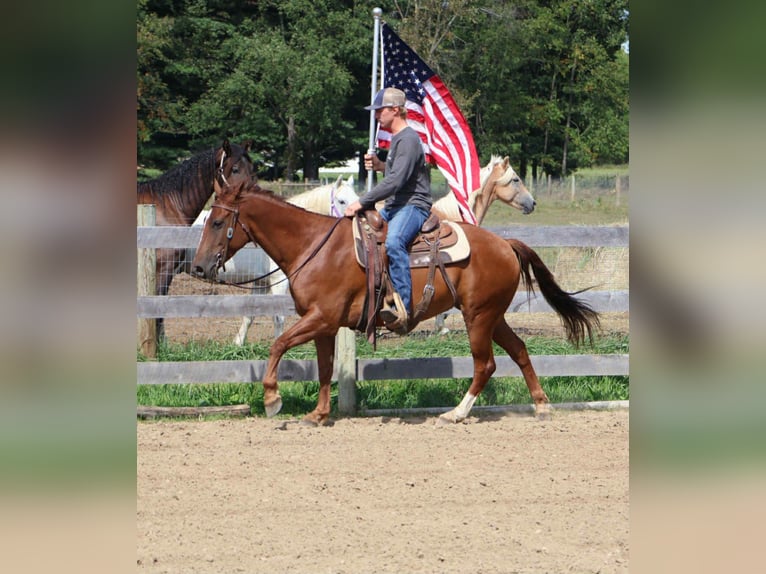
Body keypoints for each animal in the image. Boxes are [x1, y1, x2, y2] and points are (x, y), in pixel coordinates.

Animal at [191, 176, 358, 343]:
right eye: (342, 201)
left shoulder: (261, 283)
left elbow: (250, 314)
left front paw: (238, 343)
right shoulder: (279, 282)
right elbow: (278, 317)